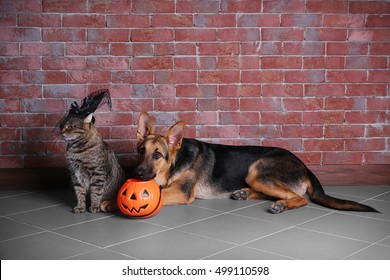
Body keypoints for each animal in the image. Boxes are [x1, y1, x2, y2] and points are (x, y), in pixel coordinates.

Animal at [136, 111, 380, 214]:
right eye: (140, 151)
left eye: (158, 155)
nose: (137, 173)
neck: (176, 162)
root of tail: (304, 165)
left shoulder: (182, 192)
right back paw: (243, 193)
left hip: (257, 169)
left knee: (300, 198)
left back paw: (281, 205)